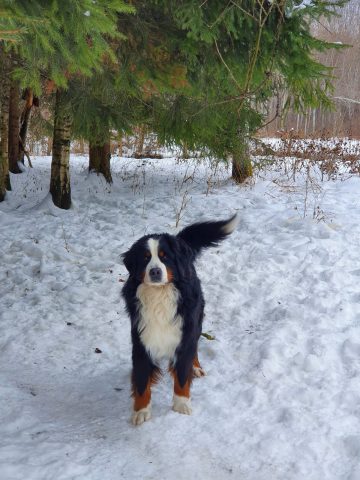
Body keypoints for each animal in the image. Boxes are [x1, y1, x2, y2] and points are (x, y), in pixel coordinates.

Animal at [122, 214, 238, 424]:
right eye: (145, 258)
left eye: (164, 256)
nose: (155, 271)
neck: (159, 296)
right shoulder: (141, 338)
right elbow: (142, 380)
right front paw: (141, 411)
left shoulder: (185, 334)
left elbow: (182, 376)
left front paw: (181, 405)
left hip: (197, 321)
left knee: (196, 347)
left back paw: (196, 367)